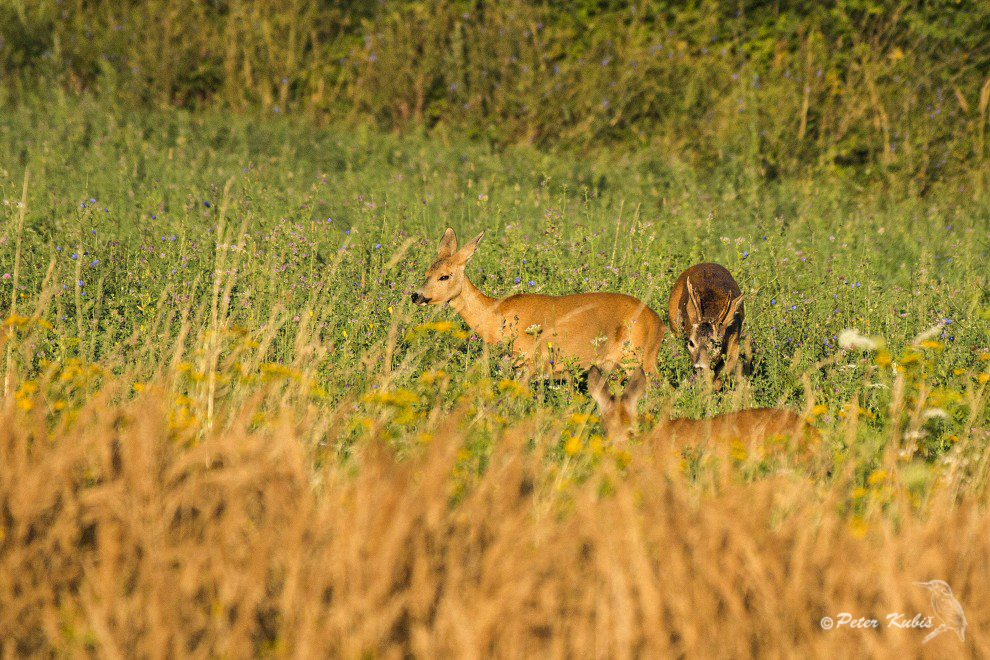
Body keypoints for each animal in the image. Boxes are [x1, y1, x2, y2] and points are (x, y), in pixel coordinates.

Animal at [410, 228, 668, 374]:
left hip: (639, 357)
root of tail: (659, 323)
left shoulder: (529, 360)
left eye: (445, 276)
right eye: (426, 273)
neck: (495, 316)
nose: (416, 295)